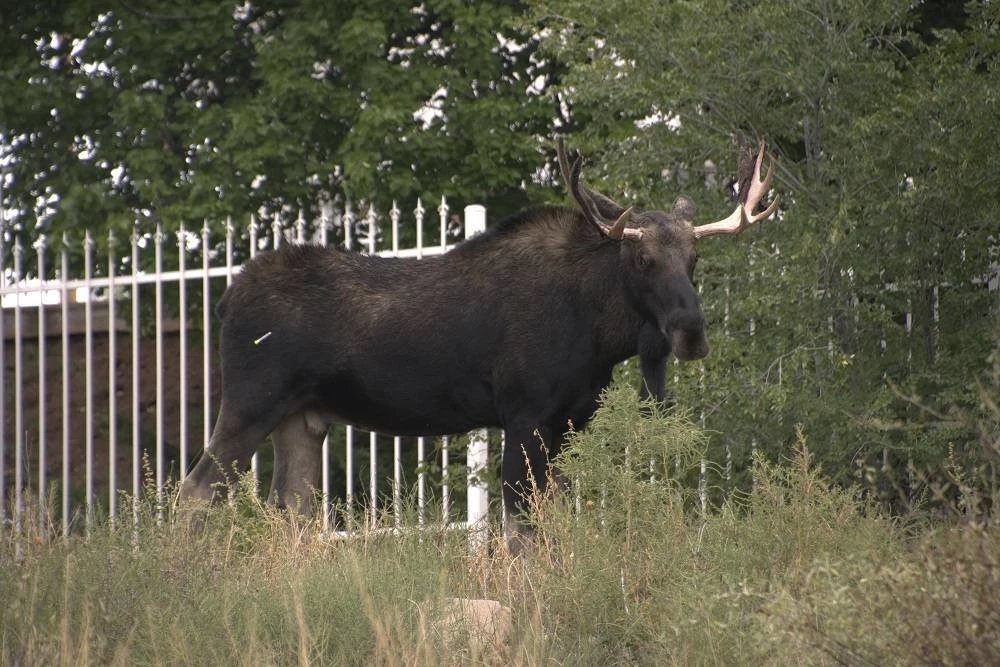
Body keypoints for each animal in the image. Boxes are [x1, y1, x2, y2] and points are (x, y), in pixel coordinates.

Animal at [180, 137, 776, 552]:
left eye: (694, 259)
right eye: (643, 259)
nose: (691, 332)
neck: (601, 334)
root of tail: (224, 300)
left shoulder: (568, 421)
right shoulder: (524, 414)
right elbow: (517, 531)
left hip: (302, 418)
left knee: (291, 509)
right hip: (250, 402)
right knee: (195, 492)